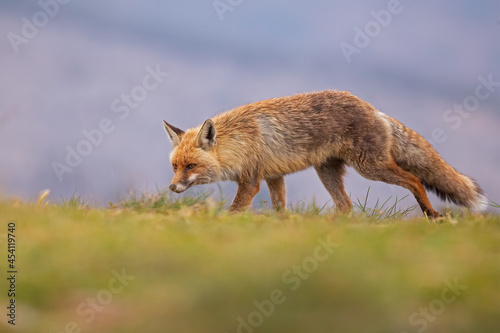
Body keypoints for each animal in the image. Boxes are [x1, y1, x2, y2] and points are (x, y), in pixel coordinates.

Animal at [163, 89, 484, 217]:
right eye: (175, 166)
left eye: (190, 166)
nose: (172, 187)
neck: (240, 140)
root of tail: (373, 109)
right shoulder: (274, 176)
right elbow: (280, 208)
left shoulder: (251, 180)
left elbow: (234, 211)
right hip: (327, 171)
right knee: (345, 206)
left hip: (370, 167)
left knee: (414, 180)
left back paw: (431, 215)